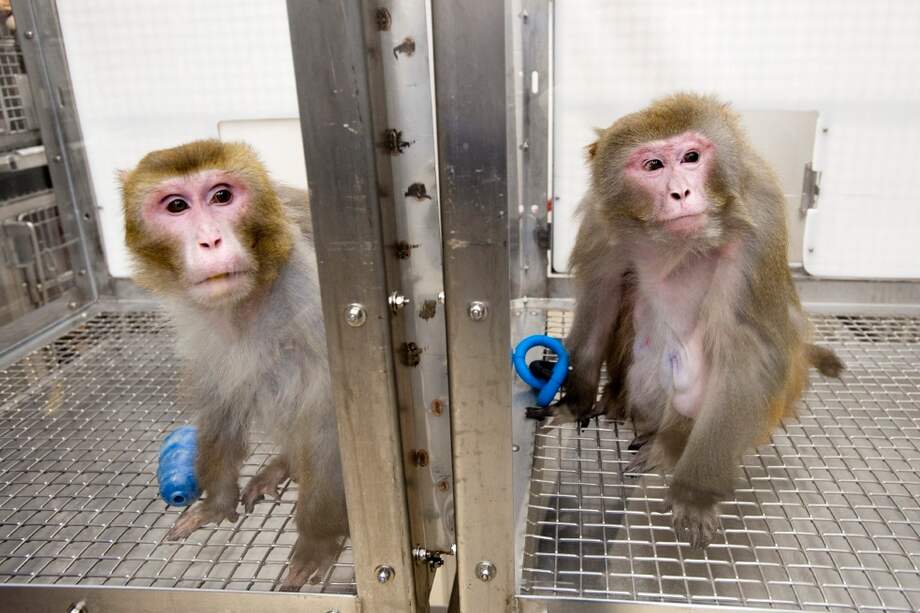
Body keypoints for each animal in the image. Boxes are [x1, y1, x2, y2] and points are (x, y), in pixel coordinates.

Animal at [120, 140, 346, 591]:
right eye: (176, 206)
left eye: (222, 196)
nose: (211, 240)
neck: (248, 301)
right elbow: (219, 387)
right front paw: (216, 503)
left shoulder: (306, 286)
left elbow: (331, 409)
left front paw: (318, 539)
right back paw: (283, 465)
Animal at [549, 93, 843, 548]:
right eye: (653, 165)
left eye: (691, 157)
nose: (681, 192)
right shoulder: (602, 219)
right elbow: (600, 299)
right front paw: (574, 401)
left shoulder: (758, 226)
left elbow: (746, 351)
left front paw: (695, 492)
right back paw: (617, 399)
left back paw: (673, 440)